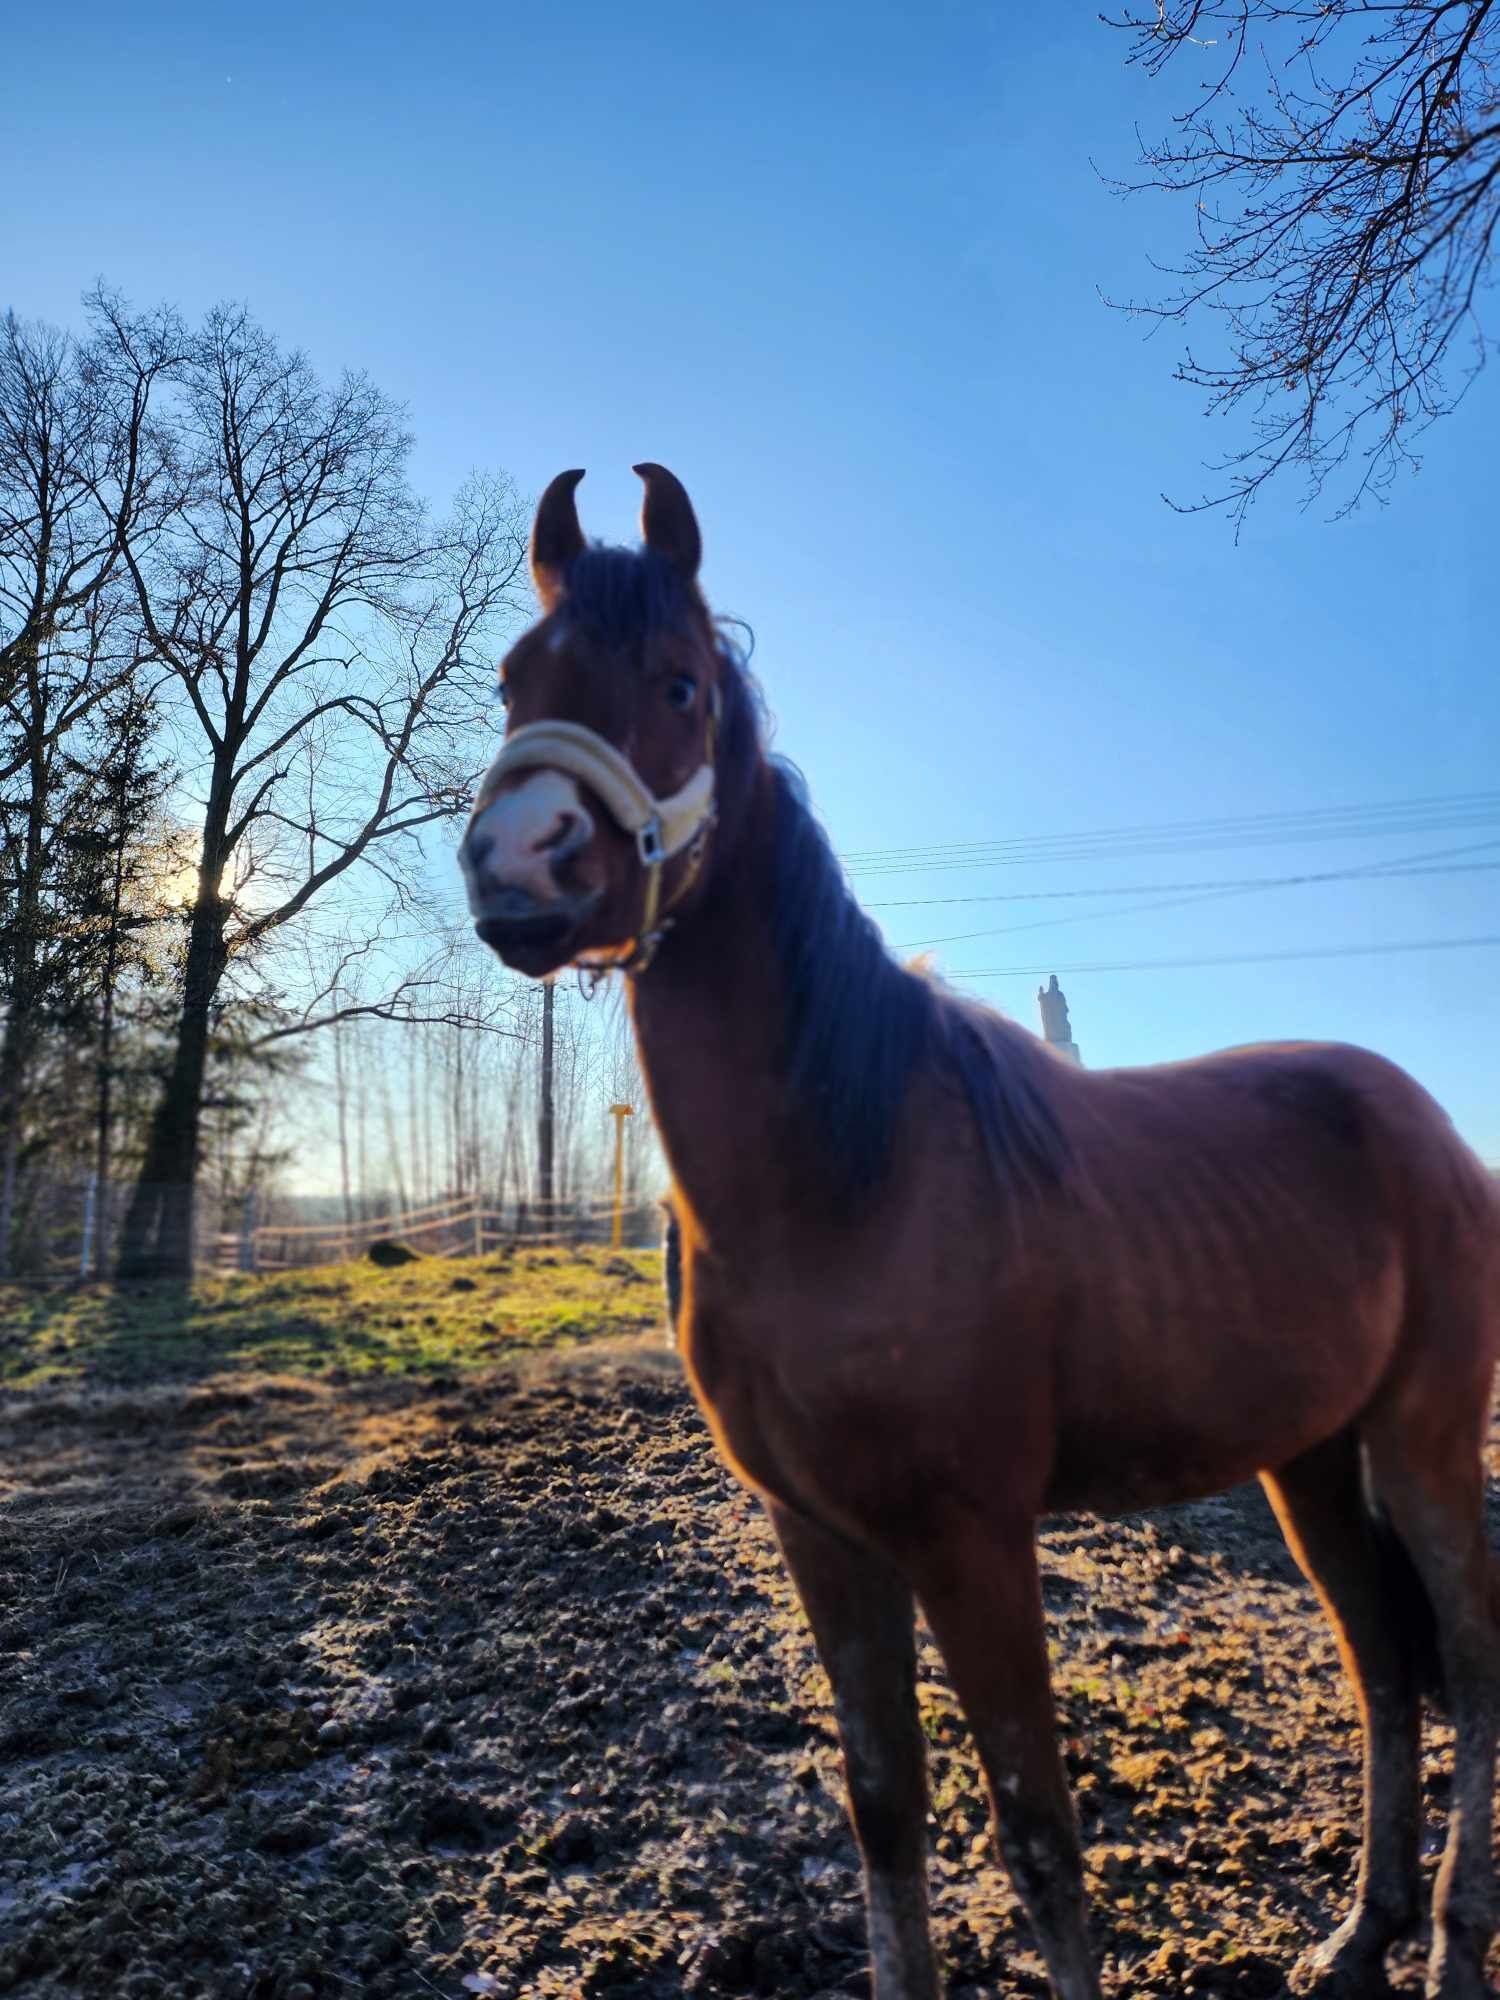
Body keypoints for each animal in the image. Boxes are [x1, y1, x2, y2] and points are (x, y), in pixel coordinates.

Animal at [462, 464, 1500, 2000]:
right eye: (512, 680)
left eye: (681, 682)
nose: (516, 864)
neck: (846, 1183)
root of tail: (1428, 1127)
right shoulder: (821, 1536)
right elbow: (886, 1809)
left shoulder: (974, 1539)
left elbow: (1037, 1831)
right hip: (1310, 1457)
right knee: (1379, 1657)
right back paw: (1357, 1932)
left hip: (1423, 1437)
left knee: (1469, 1653)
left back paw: (1450, 1940)